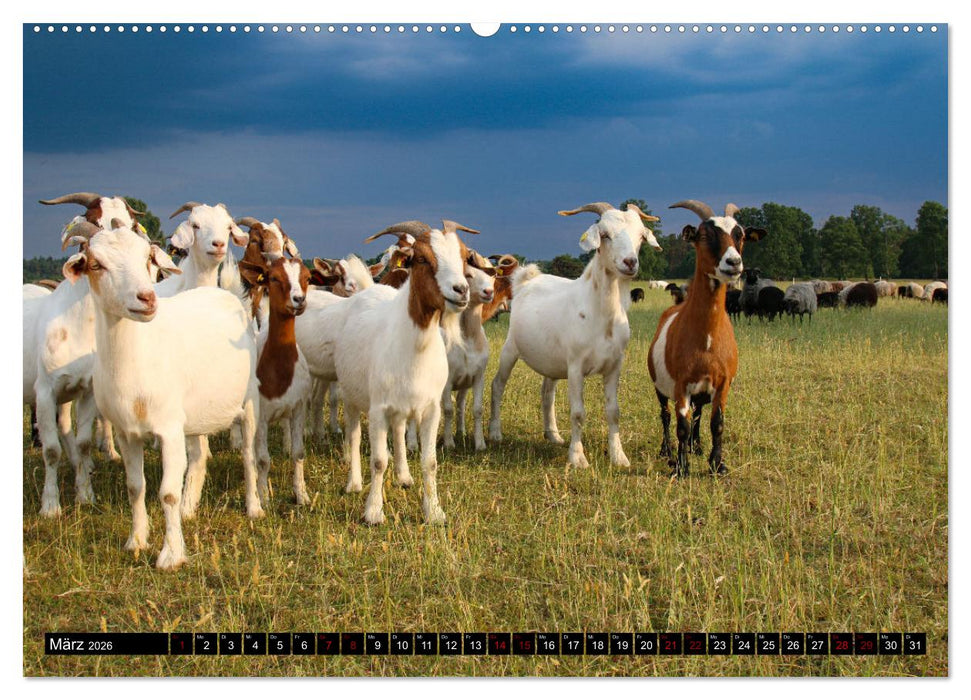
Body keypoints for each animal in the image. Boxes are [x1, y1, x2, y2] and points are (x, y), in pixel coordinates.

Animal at [62, 222, 260, 569]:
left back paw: (253, 507)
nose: (147, 298)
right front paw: (136, 540)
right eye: (96, 264)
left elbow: (167, 493)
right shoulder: (127, 433)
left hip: (249, 401)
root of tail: (226, 293)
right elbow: (135, 487)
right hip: (194, 415)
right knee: (198, 456)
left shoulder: (168, 429)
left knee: (248, 454)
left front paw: (171, 554)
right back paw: (189, 508)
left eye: (147, 259)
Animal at [335, 220, 475, 524]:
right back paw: (353, 484)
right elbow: (378, 461)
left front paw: (434, 512)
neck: (416, 348)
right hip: (350, 396)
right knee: (353, 435)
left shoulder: (431, 407)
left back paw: (404, 476)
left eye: (463, 256)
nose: (461, 290)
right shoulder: (377, 408)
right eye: (421, 258)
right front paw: (373, 512)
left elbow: (430, 461)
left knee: (398, 432)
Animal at [489, 202, 662, 469]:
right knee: (498, 385)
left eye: (641, 236)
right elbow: (578, 413)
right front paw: (578, 458)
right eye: (605, 234)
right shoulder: (576, 366)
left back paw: (553, 435)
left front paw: (619, 457)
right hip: (511, 348)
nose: (630, 262)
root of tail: (527, 279)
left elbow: (614, 412)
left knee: (547, 393)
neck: (603, 316)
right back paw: (495, 433)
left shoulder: (615, 365)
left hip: (551, 360)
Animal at [648, 200, 766, 477]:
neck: (707, 340)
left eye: (740, 235)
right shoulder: (681, 385)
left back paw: (697, 446)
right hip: (660, 386)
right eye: (704, 234)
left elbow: (716, 423)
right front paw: (681, 468)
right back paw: (667, 451)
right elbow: (681, 425)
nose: (733, 262)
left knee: (699, 414)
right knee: (665, 415)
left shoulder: (722, 384)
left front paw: (717, 464)